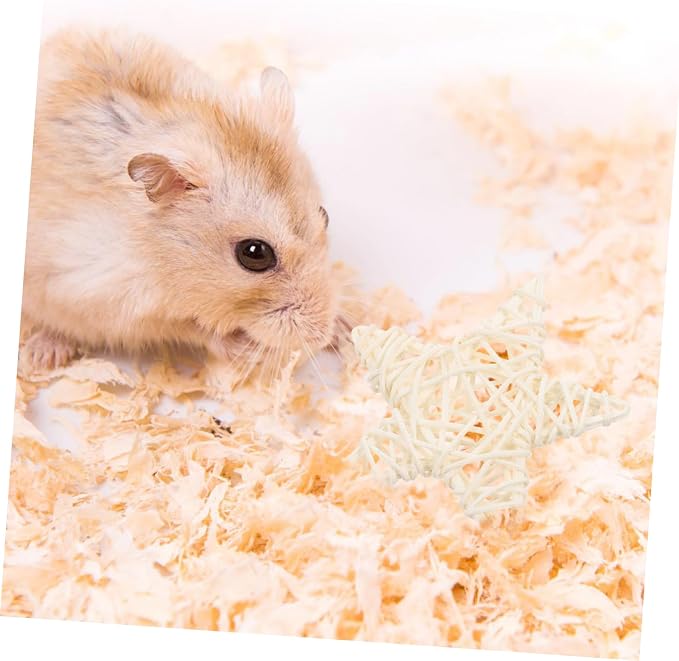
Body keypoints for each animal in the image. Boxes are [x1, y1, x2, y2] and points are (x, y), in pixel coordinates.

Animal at [21, 28, 339, 373]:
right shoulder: (102, 299)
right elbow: (189, 327)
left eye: (324, 215)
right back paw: (42, 356)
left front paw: (342, 330)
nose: (322, 333)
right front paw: (247, 349)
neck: (160, 257)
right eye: (254, 254)